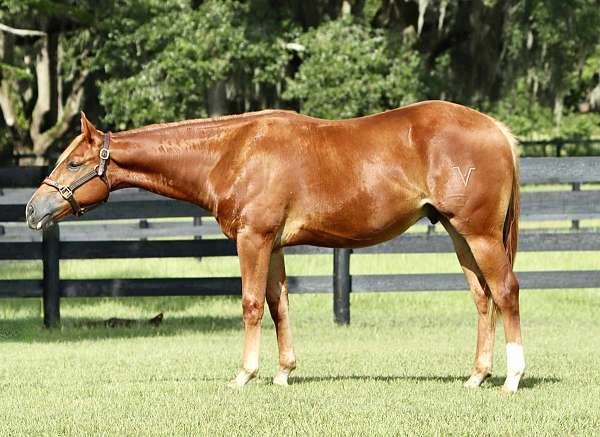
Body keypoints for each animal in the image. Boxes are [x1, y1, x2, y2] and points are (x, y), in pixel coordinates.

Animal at [27, 99, 524, 392]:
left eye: (74, 163)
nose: (33, 210)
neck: (234, 151)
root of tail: (495, 130)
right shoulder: (276, 245)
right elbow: (278, 304)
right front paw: (284, 373)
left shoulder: (254, 238)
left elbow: (250, 305)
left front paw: (243, 376)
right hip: (459, 235)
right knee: (482, 299)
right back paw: (476, 376)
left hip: (479, 235)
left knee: (506, 293)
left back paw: (513, 378)